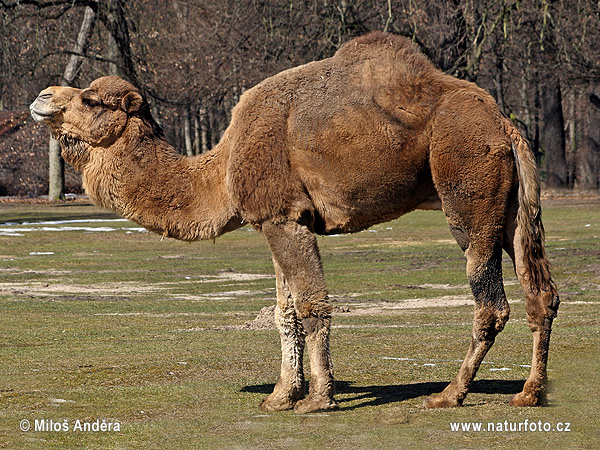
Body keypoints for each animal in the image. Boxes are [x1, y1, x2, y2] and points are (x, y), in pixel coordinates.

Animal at [31, 30, 556, 412]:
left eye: (91, 100)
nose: (42, 95)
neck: (220, 171)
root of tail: (506, 125)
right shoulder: (275, 221)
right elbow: (284, 311)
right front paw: (280, 396)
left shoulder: (283, 217)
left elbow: (310, 305)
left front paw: (318, 400)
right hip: (510, 207)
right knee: (541, 292)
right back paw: (529, 392)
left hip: (467, 187)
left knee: (491, 302)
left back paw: (450, 394)